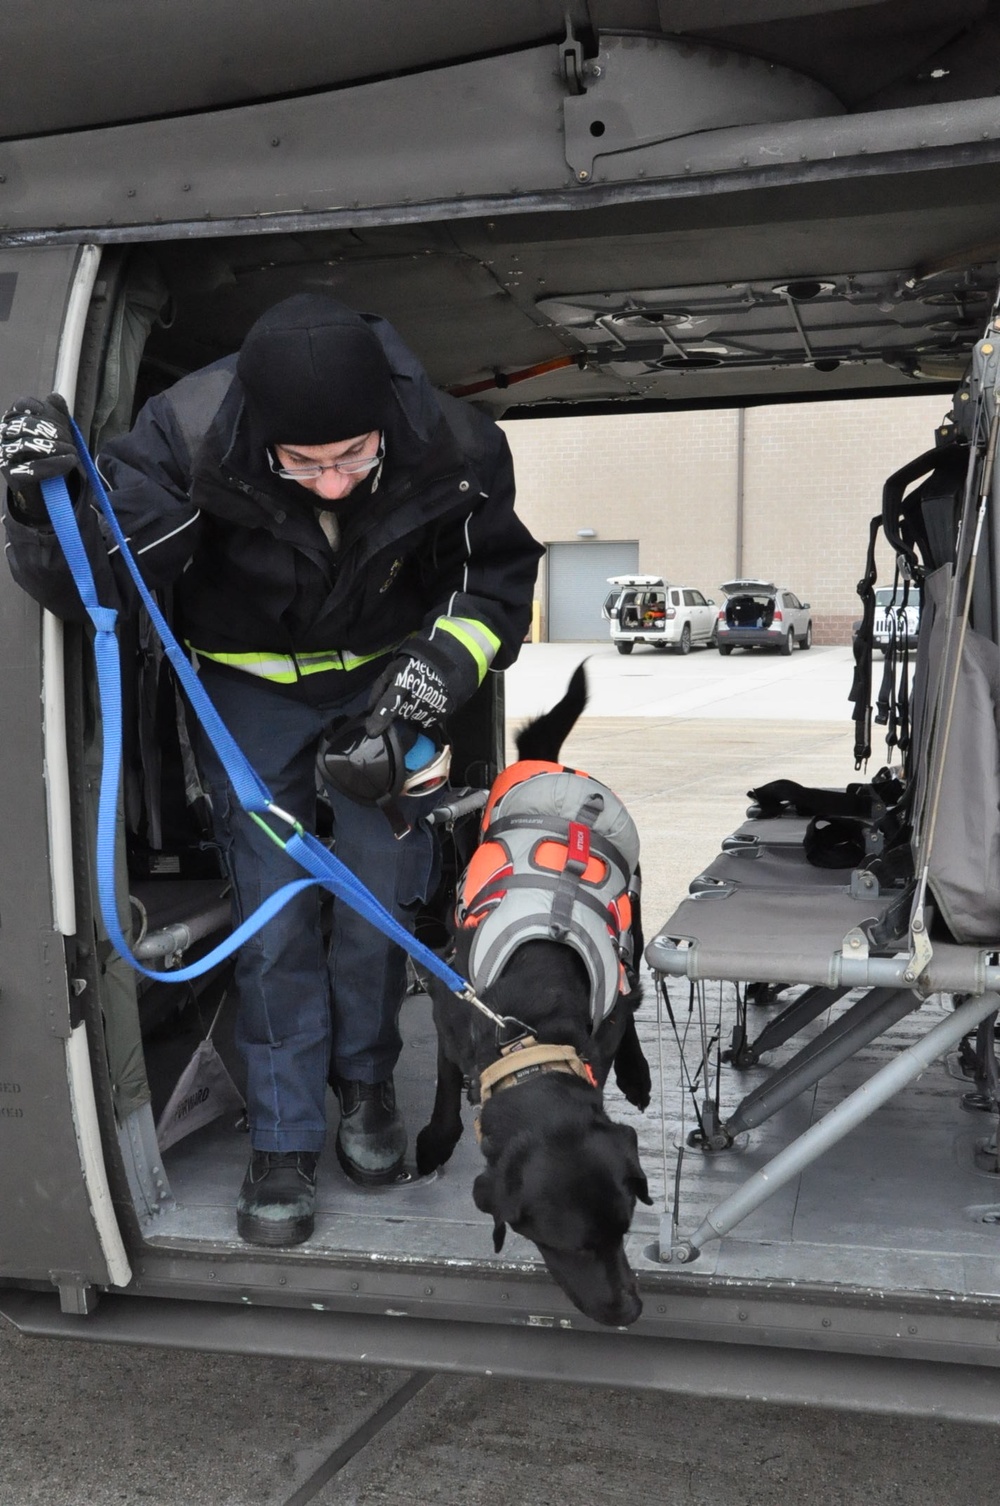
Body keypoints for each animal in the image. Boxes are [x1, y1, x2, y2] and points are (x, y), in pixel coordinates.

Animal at [412, 665, 653, 1325]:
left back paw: (640, 1075)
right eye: (571, 1245)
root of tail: (554, 765)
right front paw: (435, 1141)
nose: (630, 1310)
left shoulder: (604, 1021)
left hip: (634, 910)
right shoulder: (452, 1007)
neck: (530, 1029)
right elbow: (445, 1090)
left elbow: (613, 1036)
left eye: (626, 1229)